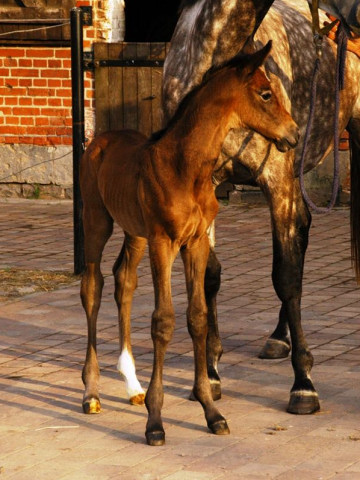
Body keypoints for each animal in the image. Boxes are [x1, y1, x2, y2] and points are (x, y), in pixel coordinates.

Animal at [80, 42, 300, 446]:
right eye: (265, 94)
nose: (293, 135)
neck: (186, 168)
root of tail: (99, 139)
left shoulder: (194, 242)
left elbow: (197, 318)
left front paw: (211, 411)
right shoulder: (164, 242)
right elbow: (163, 321)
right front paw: (155, 421)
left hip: (135, 232)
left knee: (123, 281)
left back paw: (131, 384)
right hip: (97, 221)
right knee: (92, 287)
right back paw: (91, 392)